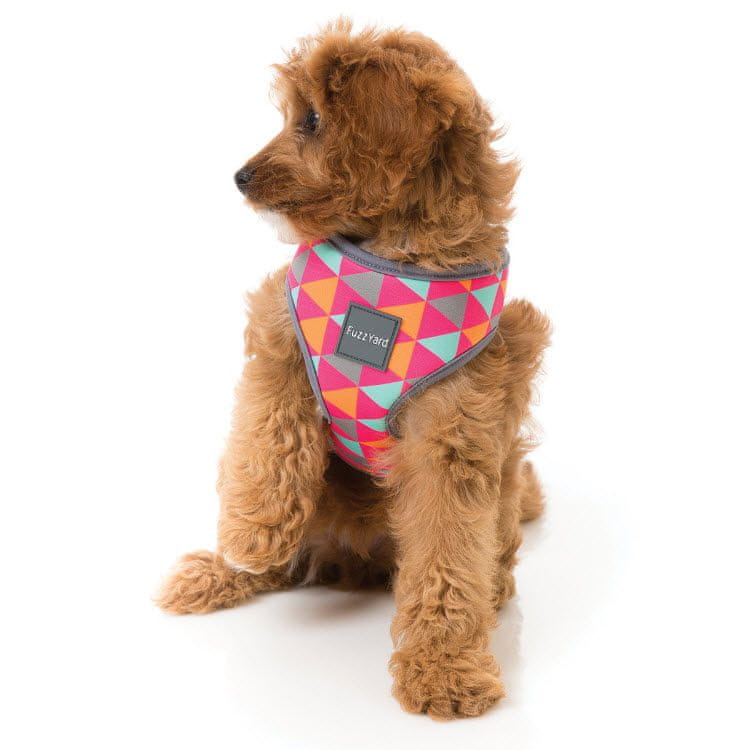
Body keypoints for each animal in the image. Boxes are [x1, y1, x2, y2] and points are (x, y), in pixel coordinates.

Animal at [157, 19, 550, 720]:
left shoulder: (453, 431)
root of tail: (350, 560)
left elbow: (448, 553)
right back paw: (225, 568)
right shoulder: (280, 333)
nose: (239, 176)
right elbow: (268, 440)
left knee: (490, 553)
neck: (394, 253)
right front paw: (254, 532)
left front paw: (444, 667)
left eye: (311, 120)